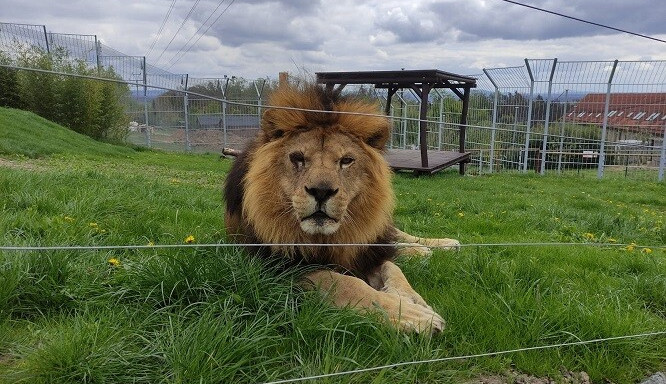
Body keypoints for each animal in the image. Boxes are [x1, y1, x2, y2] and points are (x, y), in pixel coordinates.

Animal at [223, 85, 456, 332]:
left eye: (346, 160)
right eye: (298, 158)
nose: (321, 191)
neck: (328, 238)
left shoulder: (368, 251)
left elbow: (393, 267)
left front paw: (411, 299)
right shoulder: (276, 266)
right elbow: (346, 282)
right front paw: (414, 315)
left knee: (397, 236)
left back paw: (440, 245)